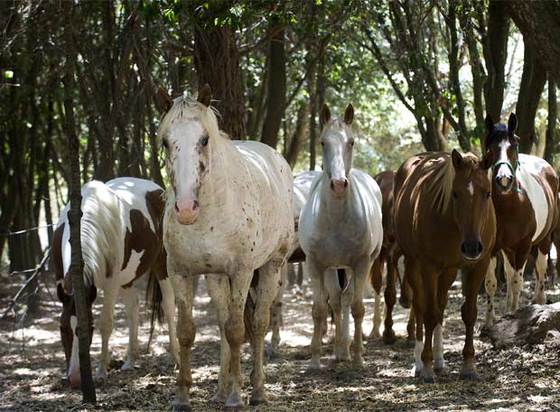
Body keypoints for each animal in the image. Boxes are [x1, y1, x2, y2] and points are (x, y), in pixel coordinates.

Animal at [53, 176, 177, 386]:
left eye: (90, 328)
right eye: (62, 328)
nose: (75, 378)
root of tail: (157, 189)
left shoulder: (111, 284)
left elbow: (106, 324)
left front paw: (101, 371)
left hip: (162, 266)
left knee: (168, 307)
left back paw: (175, 358)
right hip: (127, 280)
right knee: (133, 310)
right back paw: (130, 361)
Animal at [160, 84, 296, 408]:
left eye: (204, 139)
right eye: (165, 142)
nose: (186, 209)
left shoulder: (241, 271)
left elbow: (237, 331)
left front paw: (237, 396)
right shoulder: (180, 272)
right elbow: (187, 332)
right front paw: (182, 396)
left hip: (271, 267)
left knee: (257, 324)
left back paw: (256, 390)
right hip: (215, 277)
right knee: (222, 324)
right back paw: (221, 389)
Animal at [300, 103, 382, 366]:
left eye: (351, 142)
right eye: (323, 142)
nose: (338, 184)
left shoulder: (361, 262)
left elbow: (357, 308)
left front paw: (357, 358)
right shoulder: (315, 263)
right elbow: (319, 309)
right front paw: (315, 360)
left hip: (360, 263)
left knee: (347, 299)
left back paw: (348, 350)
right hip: (332, 267)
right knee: (337, 299)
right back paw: (338, 350)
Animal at [392, 150, 496, 382]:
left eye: (487, 193)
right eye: (455, 194)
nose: (472, 247)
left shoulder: (478, 265)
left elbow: (469, 313)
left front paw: (468, 365)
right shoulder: (428, 267)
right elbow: (429, 314)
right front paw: (426, 366)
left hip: (448, 272)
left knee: (440, 306)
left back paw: (440, 361)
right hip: (414, 265)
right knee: (420, 308)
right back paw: (420, 363)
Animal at [482, 114, 560, 326]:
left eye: (513, 146)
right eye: (490, 148)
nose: (504, 180)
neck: (510, 206)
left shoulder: (524, 246)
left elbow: (518, 282)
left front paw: (514, 316)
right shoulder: (493, 248)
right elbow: (492, 283)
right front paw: (490, 320)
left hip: (544, 240)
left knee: (540, 269)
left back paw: (539, 300)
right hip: (508, 249)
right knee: (509, 274)